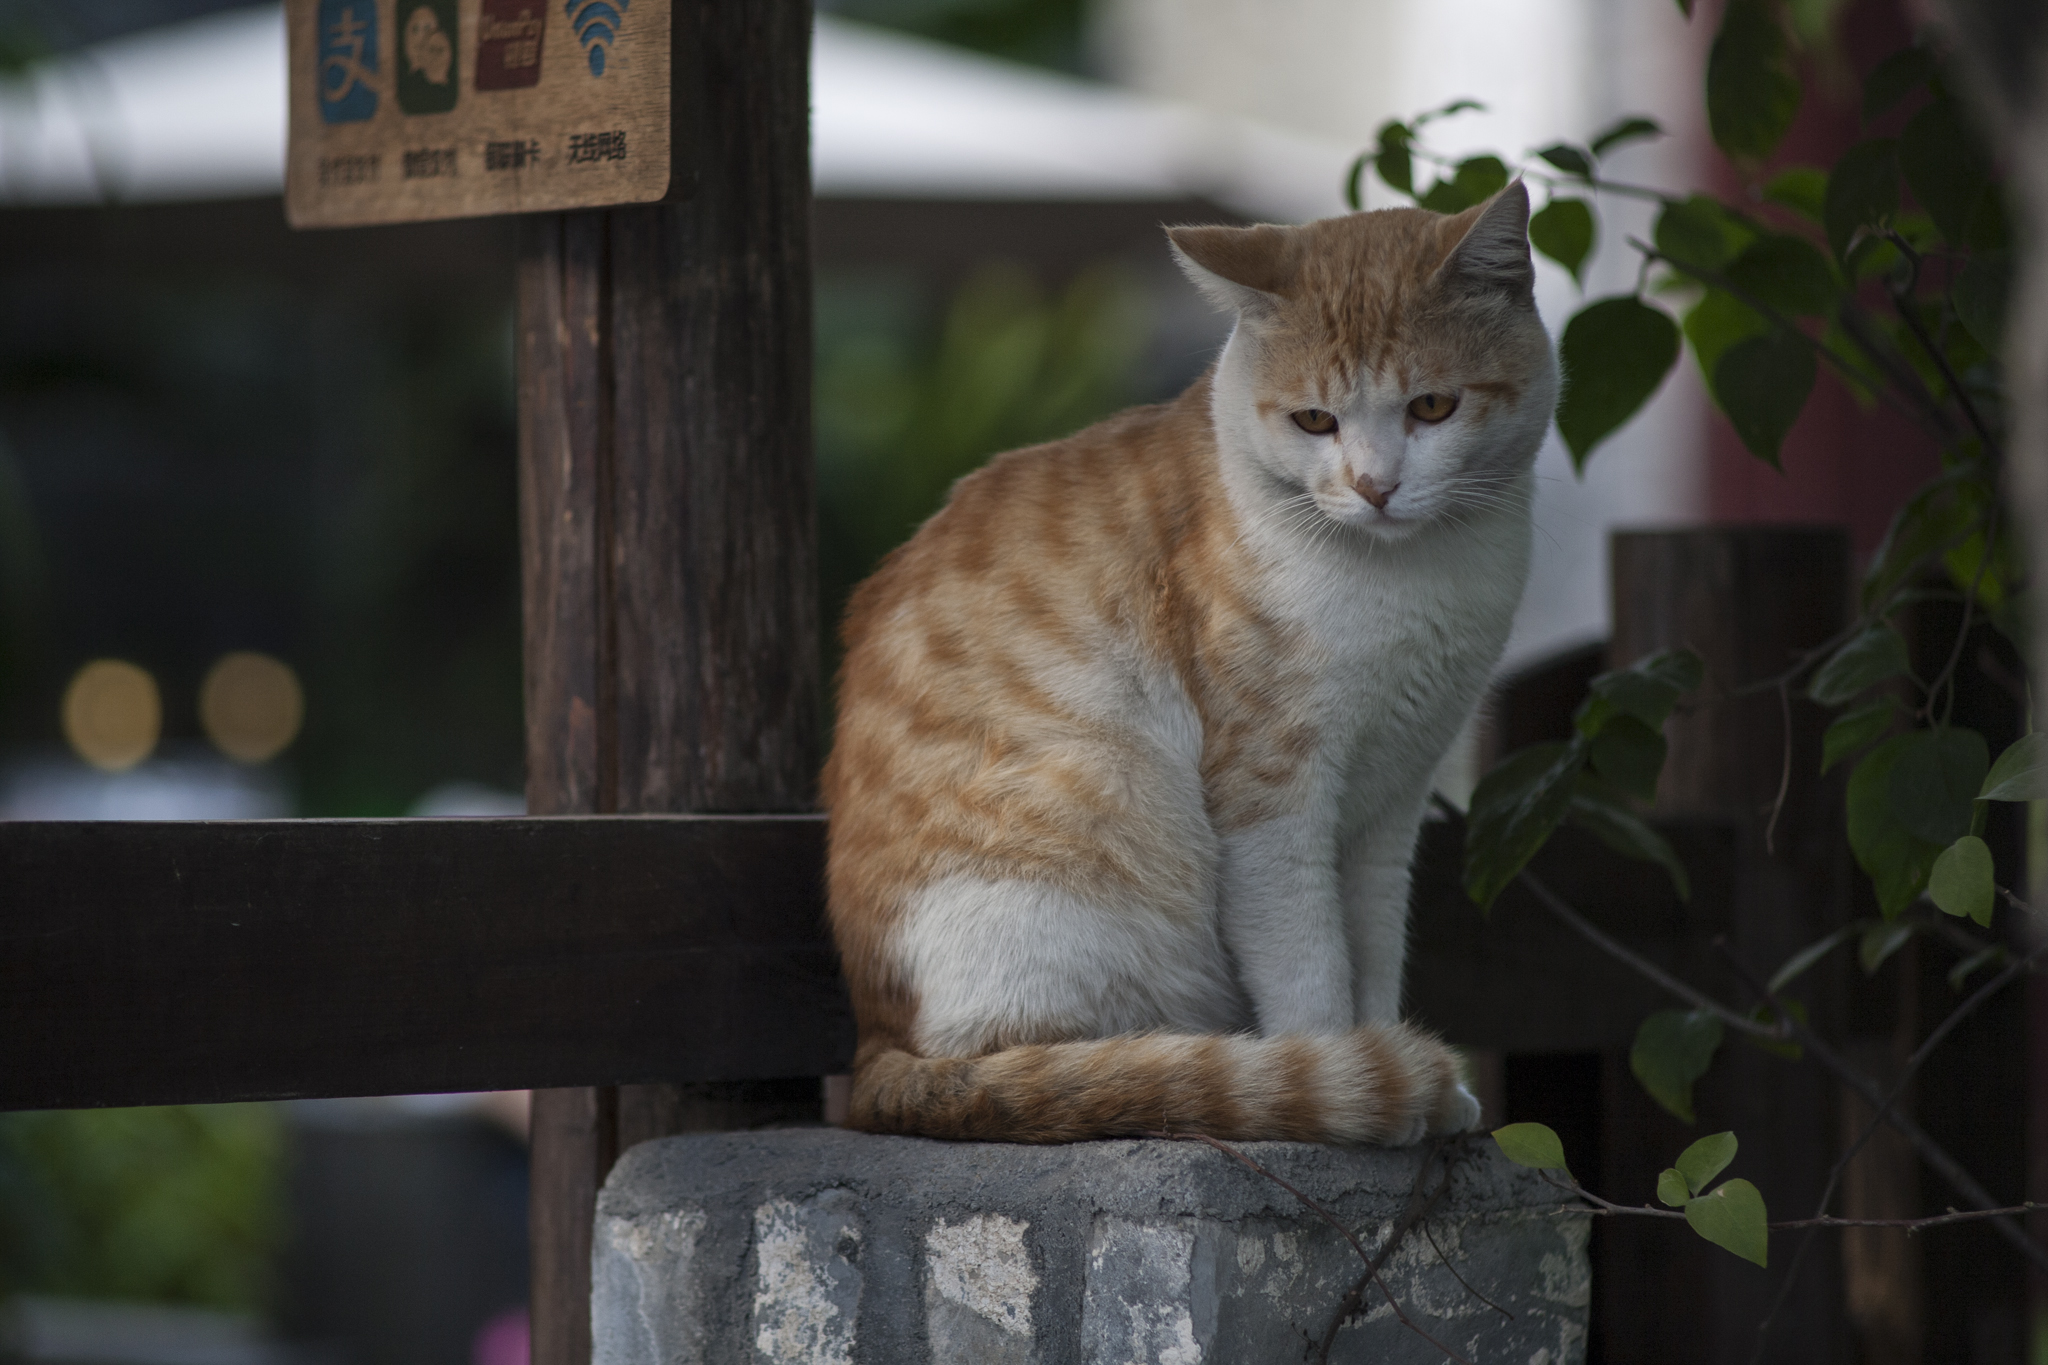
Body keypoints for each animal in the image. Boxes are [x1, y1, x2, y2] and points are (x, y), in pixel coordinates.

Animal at [815, 181, 1548, 1146]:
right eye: (1315, 420)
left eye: (1432, 407)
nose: (1375, 486)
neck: (1417, 576)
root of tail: (877, 1051)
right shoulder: (1270, 802)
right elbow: (1312, 967)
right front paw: (1348, 1080)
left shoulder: (1392, 804)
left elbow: (1374, 953)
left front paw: (1407, 1072)